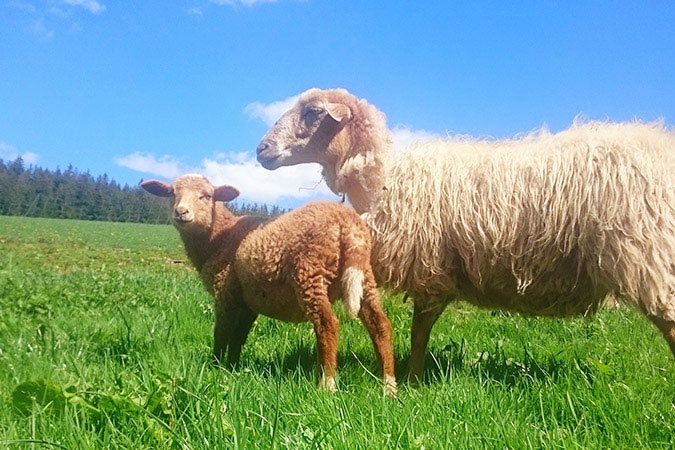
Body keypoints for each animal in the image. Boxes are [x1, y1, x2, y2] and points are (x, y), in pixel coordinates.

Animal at [141, 174, 396, 394]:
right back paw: (389, 386)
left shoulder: (226, 294)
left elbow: (221, 334)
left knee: (327, 324)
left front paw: (216, 367)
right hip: (363, 276)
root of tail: (348, 223)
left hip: (309, 271)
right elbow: (238, 337)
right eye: (171, 193)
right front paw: (232, 368)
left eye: (207, 195)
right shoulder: (248, 302)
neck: (218, 237)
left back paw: (327, 384)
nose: (181, 212)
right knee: (380, 325)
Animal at [256, 87, 675, 381]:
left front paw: (413, 381)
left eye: (312, 112)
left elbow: (419, 332)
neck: (382, 183)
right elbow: (420, 331)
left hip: (649, 254)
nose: (261, 150)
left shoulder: (430, 269)